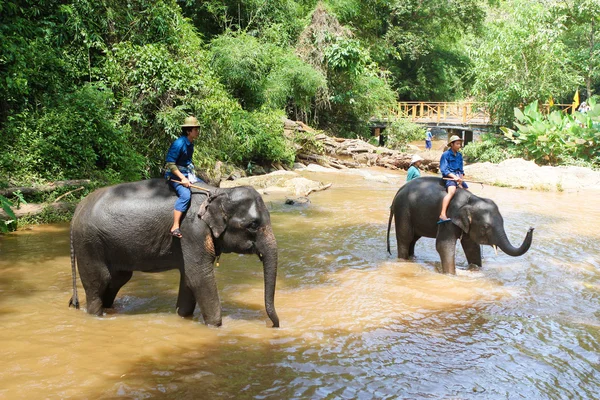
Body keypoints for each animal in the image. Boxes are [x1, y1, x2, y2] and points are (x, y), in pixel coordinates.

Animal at [69, 179, 280, 328]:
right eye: (253, 225)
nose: (274, 326)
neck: (219, 192)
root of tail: (77, 209)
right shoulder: (192, 231)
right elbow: (199, 278)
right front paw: (216, 327)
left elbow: (188, 279)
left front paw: (183, 317)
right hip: (89, 243)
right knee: (99, 281)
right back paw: (97, 315)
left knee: (117, 280)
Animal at [386, 177, 532, 274]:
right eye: (485, 227)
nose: (531, 228)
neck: (471, 199)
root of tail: (399, 191)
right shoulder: (449, 218)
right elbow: (443, 245)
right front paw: (451, 275)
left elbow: (472, 247)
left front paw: (476, 270)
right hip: (403, 210)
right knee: (405, 238)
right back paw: (403, 261)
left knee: (413, 239)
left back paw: (412, 258)